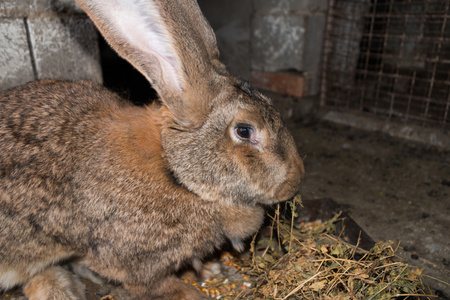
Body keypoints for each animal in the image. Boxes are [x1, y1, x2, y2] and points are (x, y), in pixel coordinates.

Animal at [0, 0, 306, 298]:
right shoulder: (131, 260)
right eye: (245, 131)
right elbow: (152, 284)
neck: (176, 173)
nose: (295, 180)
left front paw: (210, 270)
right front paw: (191, 292)